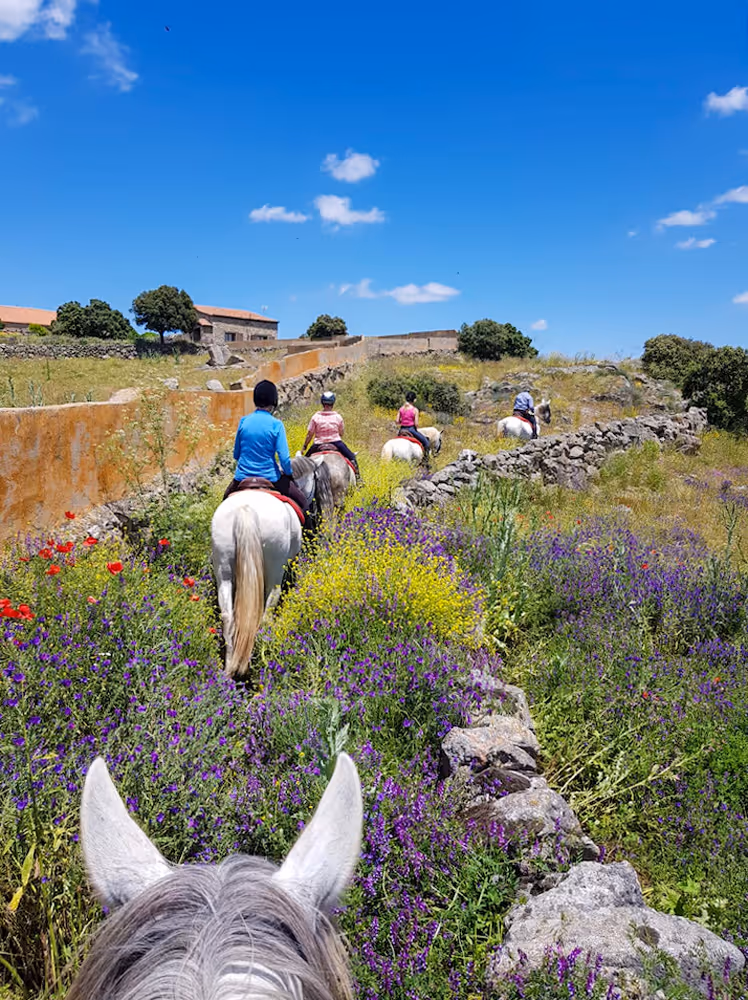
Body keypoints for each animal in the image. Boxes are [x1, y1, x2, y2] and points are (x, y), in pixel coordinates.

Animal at [211, 455, 334, 678]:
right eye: (318, 480)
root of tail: (245, 510)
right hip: (276, 571)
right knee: (266, 615)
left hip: (223, 570)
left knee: (228, 618)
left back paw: (230, 670)